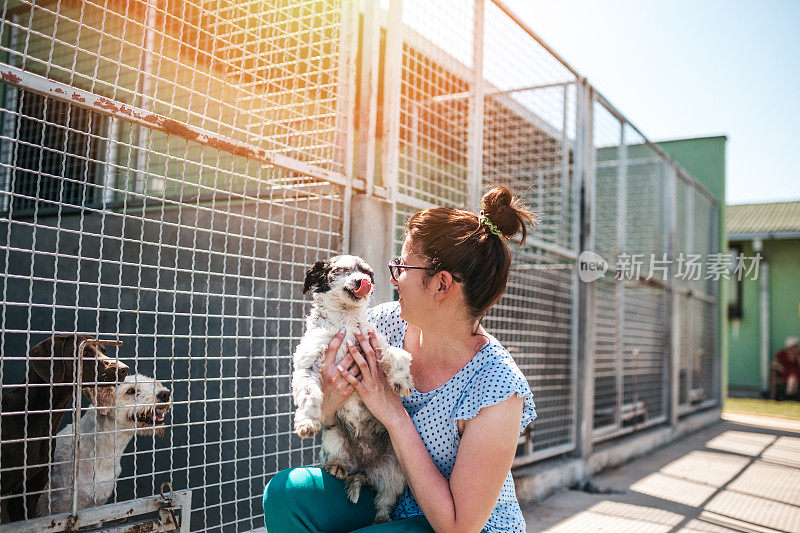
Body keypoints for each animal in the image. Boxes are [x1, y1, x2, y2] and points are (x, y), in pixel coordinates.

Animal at [292, 256, 412, 520]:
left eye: (366, 271)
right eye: (340, 271)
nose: (362, 281)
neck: (345, 322)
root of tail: (363, 468)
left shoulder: (375, 344)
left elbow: (397, 355)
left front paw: (402, 380)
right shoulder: (308, 362)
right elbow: (309, 393)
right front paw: (307, 421)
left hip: (394, 470)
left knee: (384, 501)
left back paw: (383, 519)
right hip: (334, 437)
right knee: (338, 464)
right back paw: (336, 467)